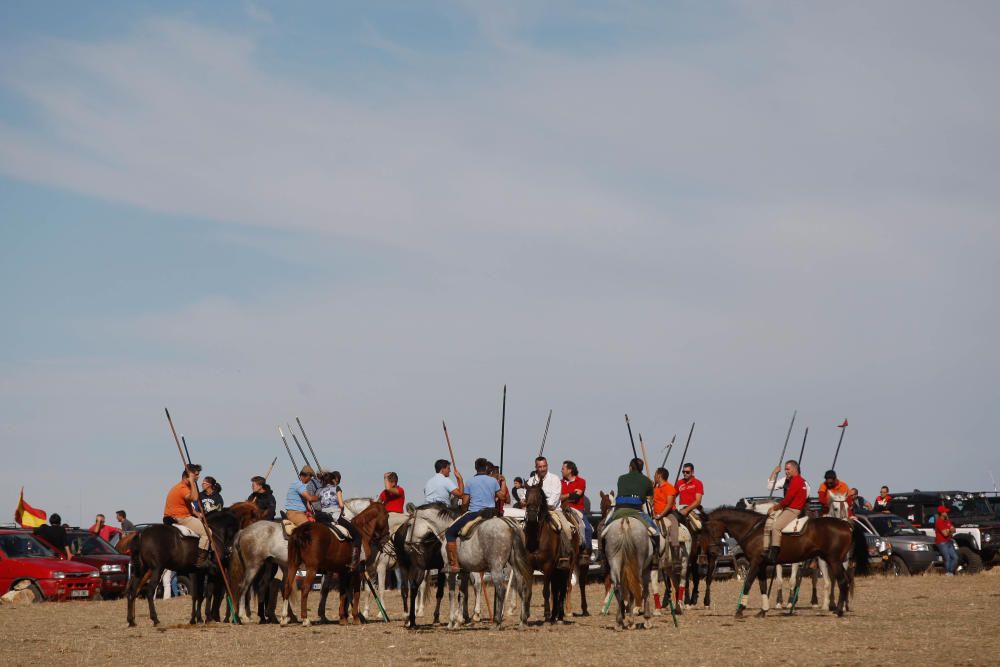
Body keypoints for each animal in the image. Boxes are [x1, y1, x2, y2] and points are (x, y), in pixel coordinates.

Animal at [286, 500, 390, 628]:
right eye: (387, 515)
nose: (387, 536)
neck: (362, 531)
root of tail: (302, 530)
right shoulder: (358, 571)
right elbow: (356, 593)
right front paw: (356, 618)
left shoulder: (343, 571)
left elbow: (343, 593)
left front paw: (343, 618)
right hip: (311, 568)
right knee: (305, 588)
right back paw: (305, 619)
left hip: (292, 565)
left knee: (287, 586)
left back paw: (283, 619)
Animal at [520, 482, 568, 624]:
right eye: (526, 496)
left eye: (540, 497)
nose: (531, 517)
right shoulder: (528, 567)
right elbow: (528, 590)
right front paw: (526, 614)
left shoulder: (547, 566)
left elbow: (546, 591)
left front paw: (546, 614)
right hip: (556, 572)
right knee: (556, 591)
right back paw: (554, 615)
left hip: (565, 570)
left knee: (562, 590)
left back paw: (559, 616)